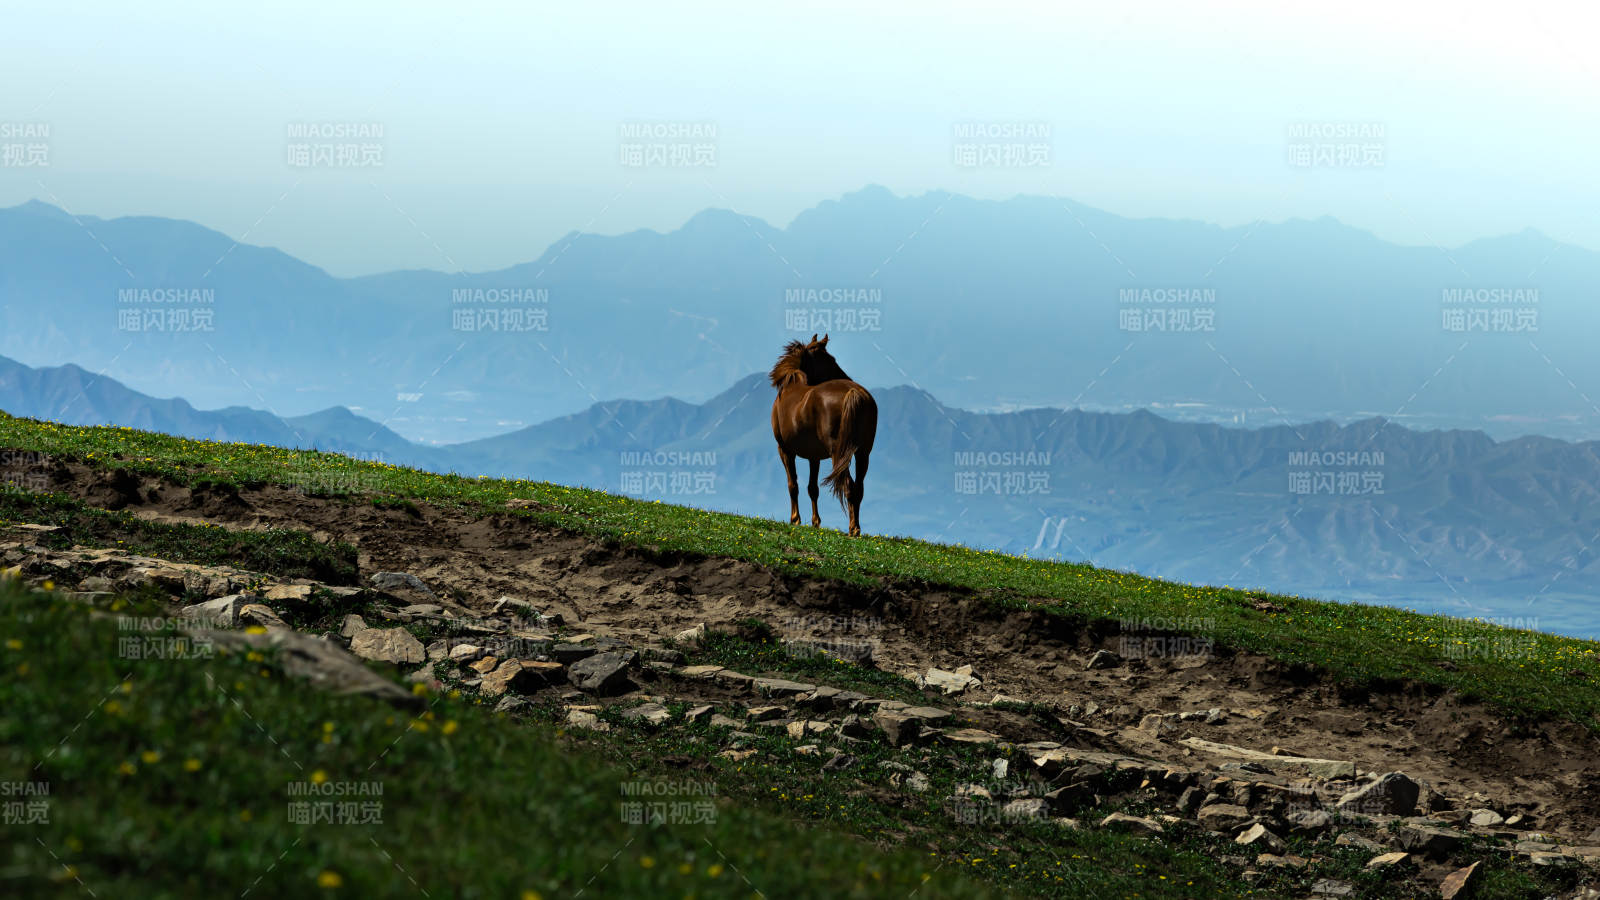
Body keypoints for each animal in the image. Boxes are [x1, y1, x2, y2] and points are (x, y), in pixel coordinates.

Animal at [770, 334, 878, 536]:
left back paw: (852, 529)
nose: (847, 377)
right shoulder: (815, 457)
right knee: (858, 488)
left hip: (838, 453)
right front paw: (815, 522)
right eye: (830, 359)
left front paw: (795, 519)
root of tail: (854, 392)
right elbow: (813, 488)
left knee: (849, 486)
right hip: (863, 453)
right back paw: (856, 528)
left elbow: (793, 484)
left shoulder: (785, 450)